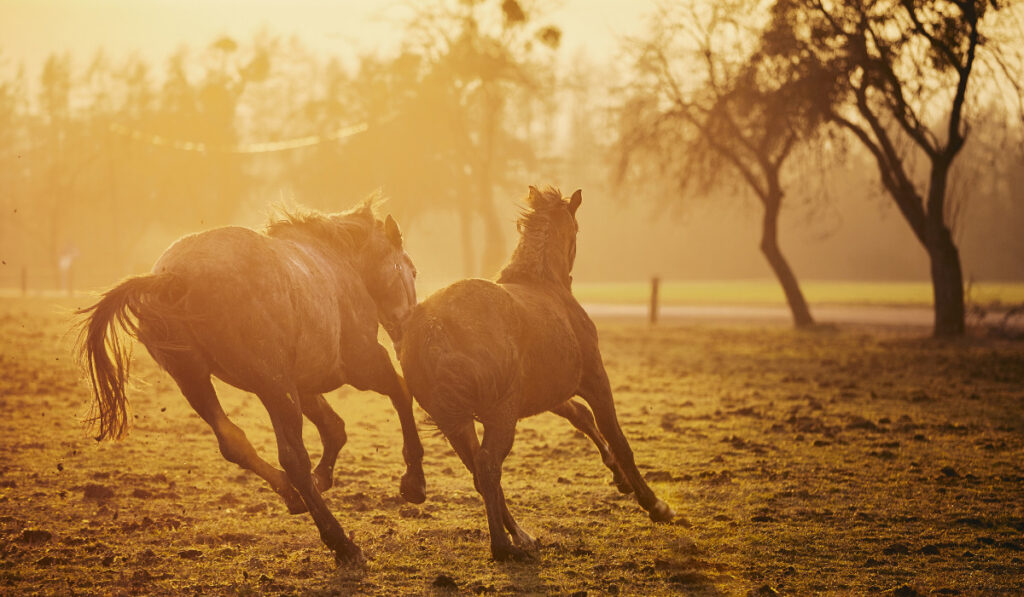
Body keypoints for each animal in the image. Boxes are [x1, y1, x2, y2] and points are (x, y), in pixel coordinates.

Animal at [74, 197, 421, 565]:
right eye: (411, 271)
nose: (406, 328)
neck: (339, 261)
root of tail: (174, 278)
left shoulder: (300, 382)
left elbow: (334, 428)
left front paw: (324, 476)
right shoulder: (360, 363)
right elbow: (400, 392)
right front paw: (414, 481)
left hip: (195, 380)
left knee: (234, 442)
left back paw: (292, 495)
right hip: (273, 385)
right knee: (293, 458)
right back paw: (340, 541)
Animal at [395, 185, 675, 561]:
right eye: (576, 228)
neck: (546, 286)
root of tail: (434, 324)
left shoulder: (549, 393)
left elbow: (582, 418)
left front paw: (619, 478)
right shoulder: (594, 379)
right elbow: (616, 436)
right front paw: (655, 504)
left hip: (457, 421)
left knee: (479, 473)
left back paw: (519, 536)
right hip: (499, 415)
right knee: (487, 467)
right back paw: (503, 545)